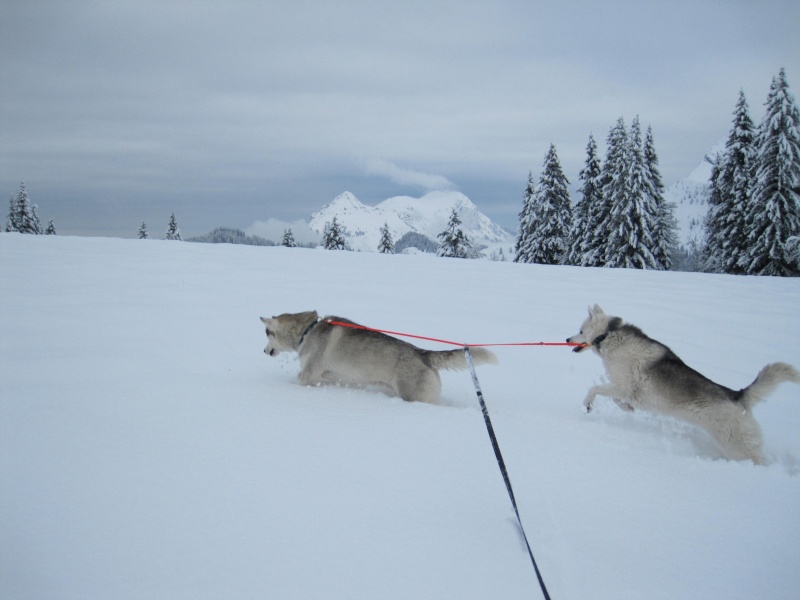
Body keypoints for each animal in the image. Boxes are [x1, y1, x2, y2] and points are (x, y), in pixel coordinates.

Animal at [260, 314, 496, 404]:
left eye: (266, 333)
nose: (263, 351)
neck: (307, 330)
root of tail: (422, 353)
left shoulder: (308, 376)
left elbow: (300, 379)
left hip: (414, 396)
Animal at [564, 304, 796, 464]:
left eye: (581, 330)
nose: (566, 339)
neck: (608, 335)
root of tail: (738, 395)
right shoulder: (624, 389)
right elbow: (617, 400)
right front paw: (627, 408)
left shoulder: (623, 385)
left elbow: (594, 389)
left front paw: (587, 405)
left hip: (737, 447)